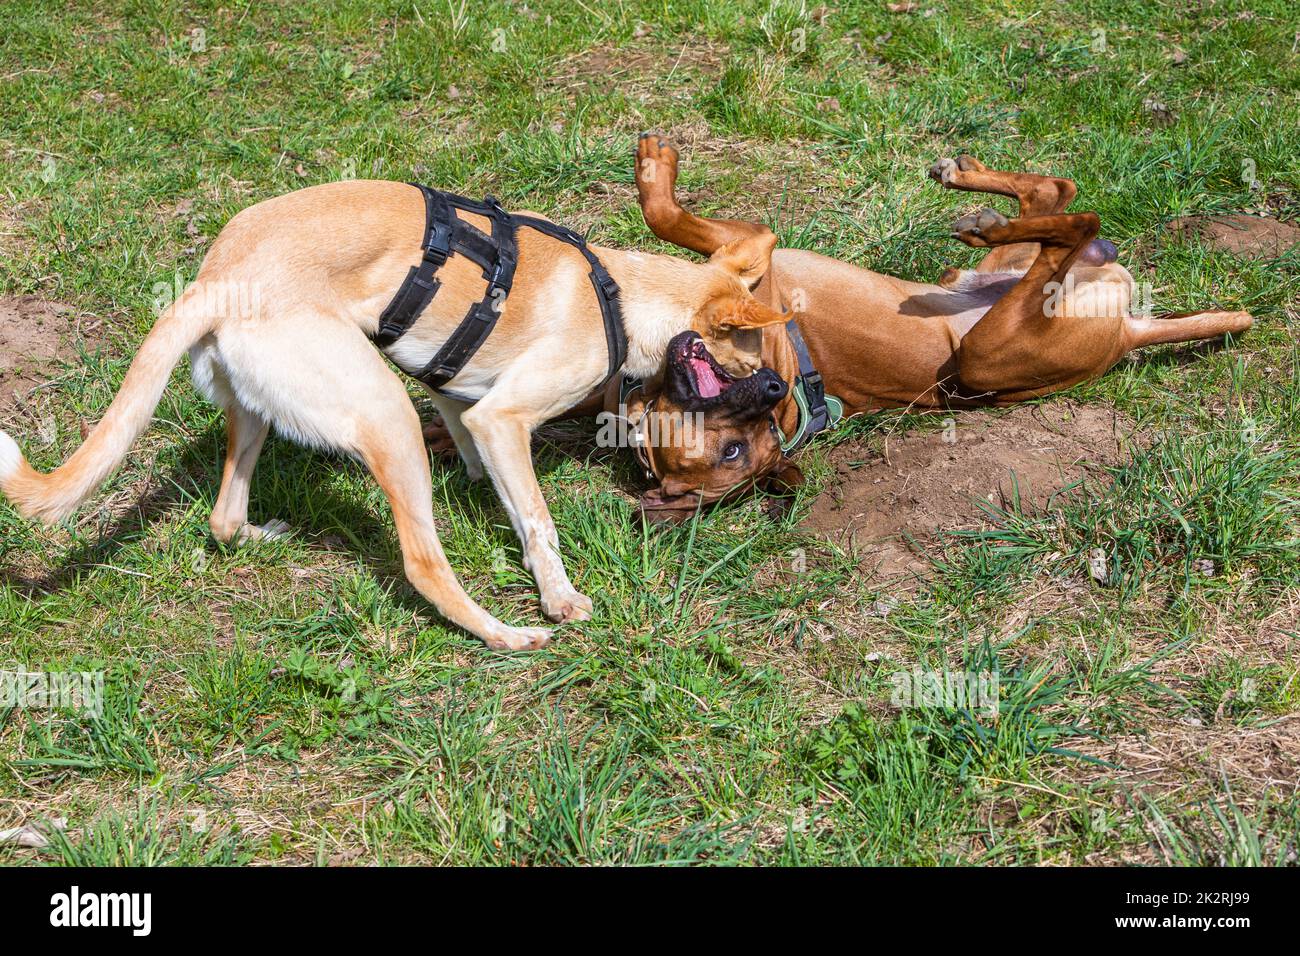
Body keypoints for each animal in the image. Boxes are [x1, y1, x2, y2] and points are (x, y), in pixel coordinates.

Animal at [0, 179, 790, 650]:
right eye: (748, 359)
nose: (785, 392)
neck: (623, 293)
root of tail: (215, 279)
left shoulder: (461, 396)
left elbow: (478, 454)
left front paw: (479, 487)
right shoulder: (506, 418)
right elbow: (538, 523)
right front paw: (558, 598)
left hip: (258, 412)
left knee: (222, 517)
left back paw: (260, 534)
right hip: (385, 416)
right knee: (421, 564)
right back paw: (504, 635)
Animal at [624, 136, 1253, 515]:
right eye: (731, 451)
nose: (773, 386)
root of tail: (1124, 335)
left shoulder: (753, 246)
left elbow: (665, 216)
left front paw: (655, 176)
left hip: (981, 338)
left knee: (1071, 208)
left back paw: (974, 198)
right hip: (996, 321)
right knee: (1065, 206)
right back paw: (979, 207)